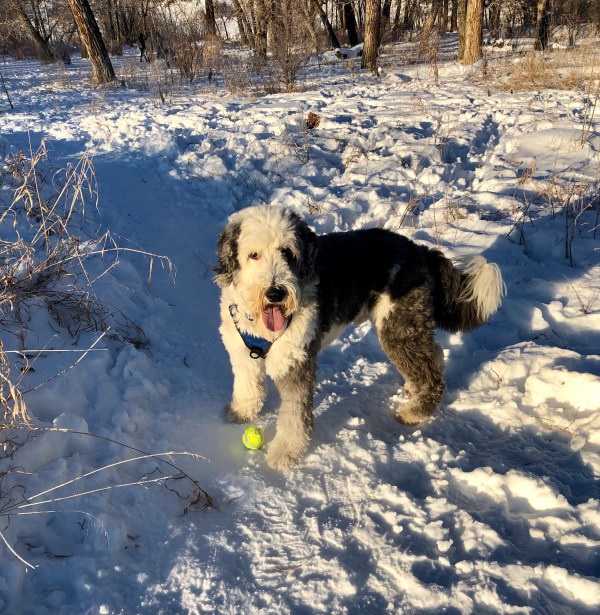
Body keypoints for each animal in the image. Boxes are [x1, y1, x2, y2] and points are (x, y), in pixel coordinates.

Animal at [215, 205, 505, 470]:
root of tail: (420, 250)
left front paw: (285, 452)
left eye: (287, 252)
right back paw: (414, 389)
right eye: (254, 255)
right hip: (409, 325)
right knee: (434, 353)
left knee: (432, 376)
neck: (263, 326)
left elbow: (294, 415)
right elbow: (247, 385)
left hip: (398, 327)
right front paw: (242, 411)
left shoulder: (296, 361)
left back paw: (414, 411)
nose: (276, 293)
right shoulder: (242, 352)